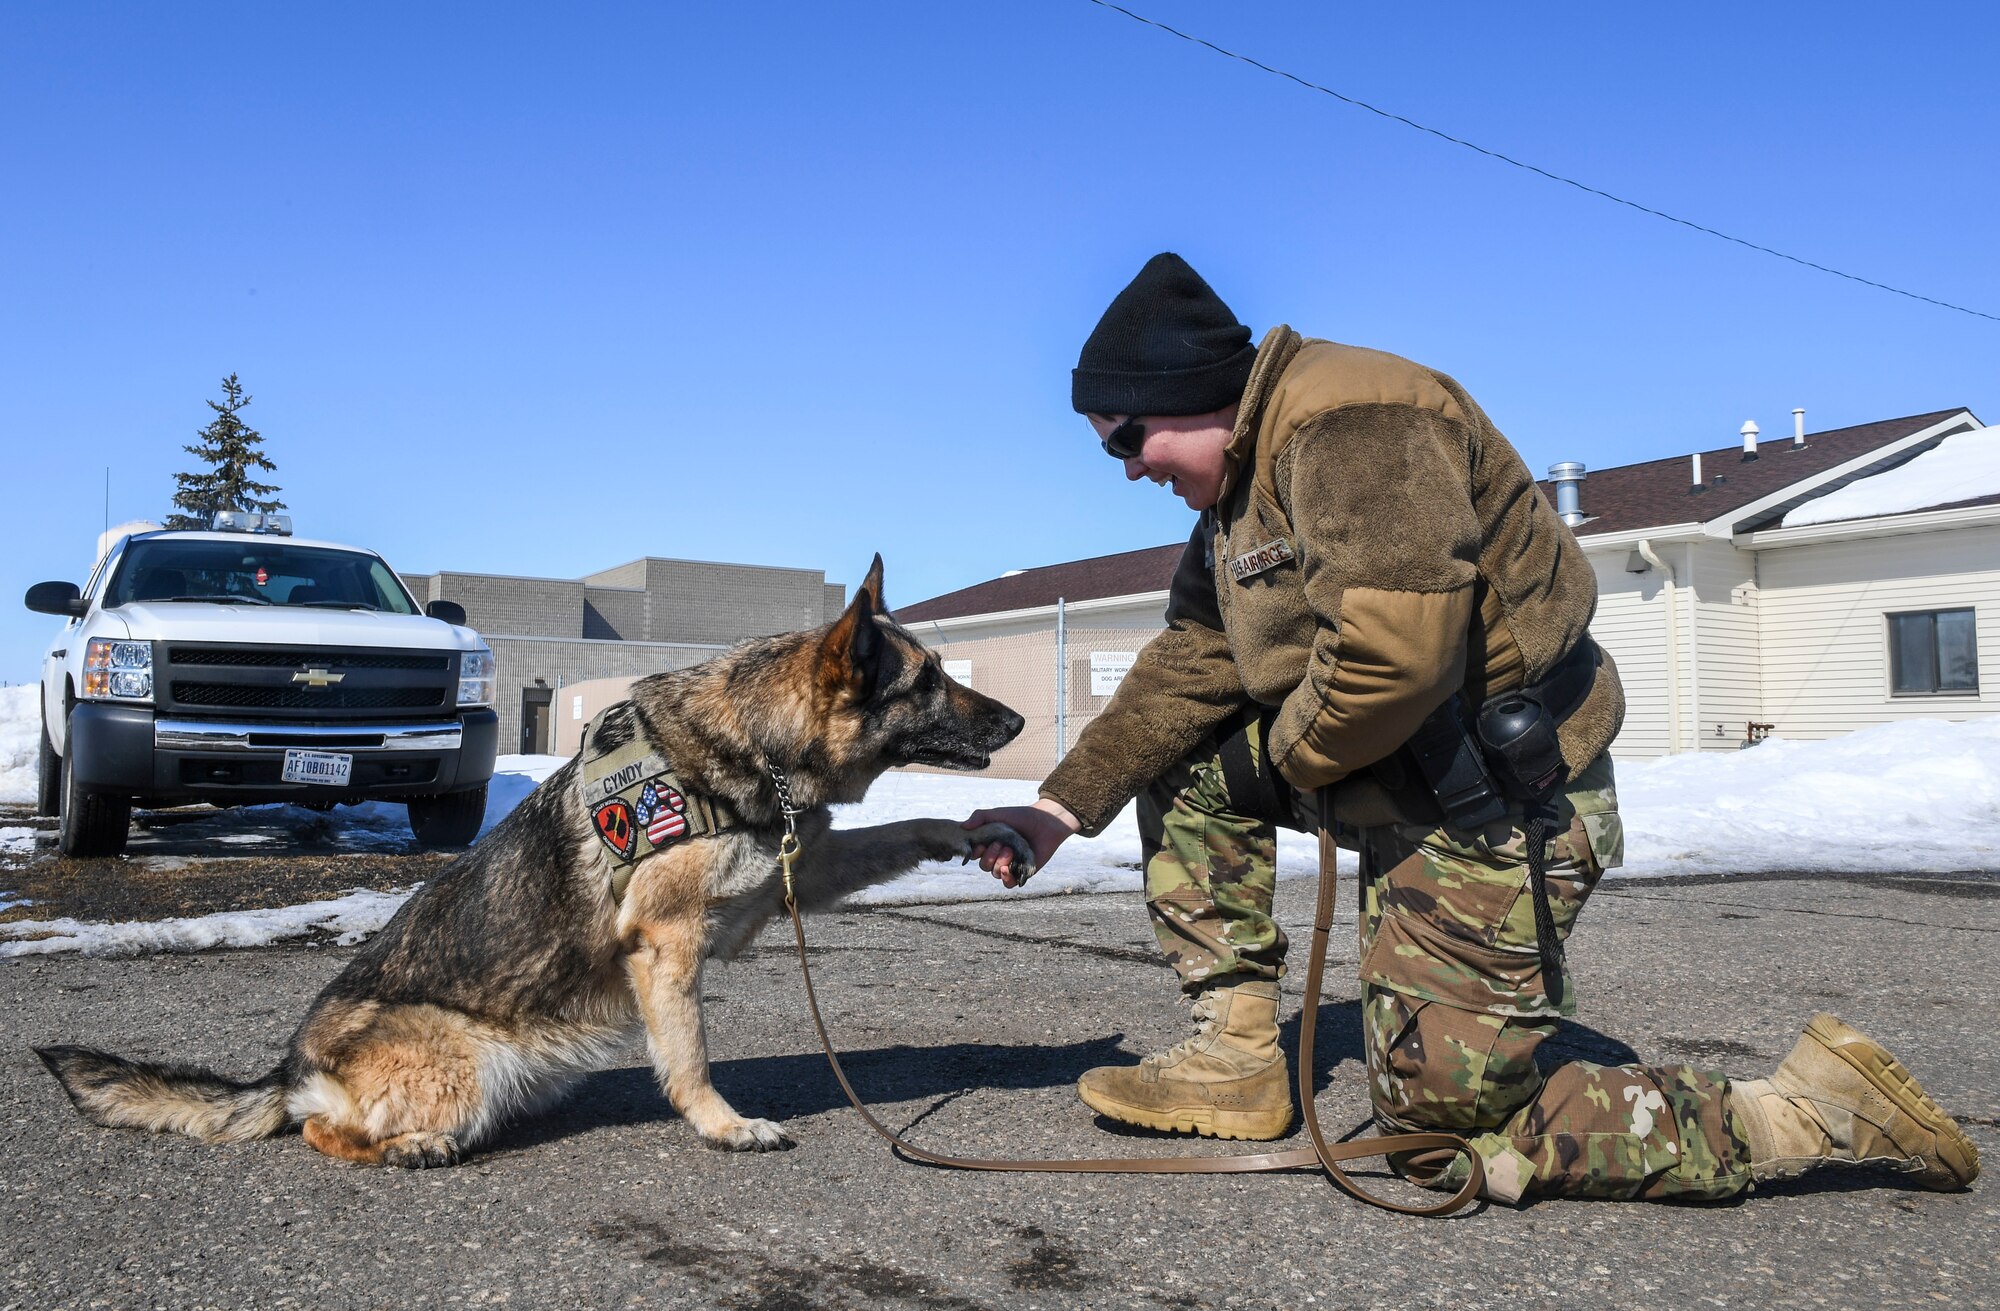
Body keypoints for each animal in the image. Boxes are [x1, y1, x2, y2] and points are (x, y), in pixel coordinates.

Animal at [41, 551, 1040, 1167]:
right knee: (323, 1132)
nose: (1020, 721)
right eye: (929, 682)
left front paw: (967, 833)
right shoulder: (668, 946)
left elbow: (891, 837)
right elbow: (691, 1055)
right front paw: (723, 1125)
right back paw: (412, 1146)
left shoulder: (793, 872)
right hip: (461, 1065)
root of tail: (291, 1065)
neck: (748, 743)